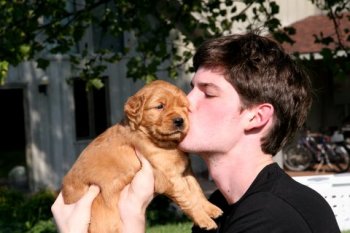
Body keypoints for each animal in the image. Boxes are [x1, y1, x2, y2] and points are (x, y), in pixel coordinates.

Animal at [61, 80, 221, 233]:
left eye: (184, 107)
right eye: (160, 106)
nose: (180, 120)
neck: (164, 142)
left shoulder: (185, 169)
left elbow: (196, 189)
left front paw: (211, 209)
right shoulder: (169, 177)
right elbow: (188, 197)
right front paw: (204, 219)